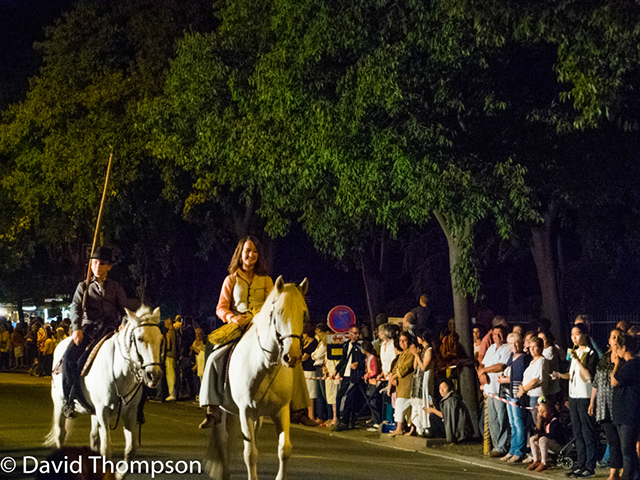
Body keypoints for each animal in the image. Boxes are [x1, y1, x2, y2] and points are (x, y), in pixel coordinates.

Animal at [46, 306, 164, 466]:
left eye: (161, 339)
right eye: (140, 338)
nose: (154, 375)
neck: (121, 373)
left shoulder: (130, 413)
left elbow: (130, 449)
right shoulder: (103, 411)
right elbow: (106, 449)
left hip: (93, 412)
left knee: (93, 437)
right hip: (59, 404)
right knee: (60, 434)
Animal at [206, 276, 308, 480]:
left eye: (303, 314)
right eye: (278, 312)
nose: (291, 357)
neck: (265, 366)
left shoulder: (281, 411)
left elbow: (284, 450)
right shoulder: (246, 411)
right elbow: (250, 453)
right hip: (223, 410)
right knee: (223, 439)